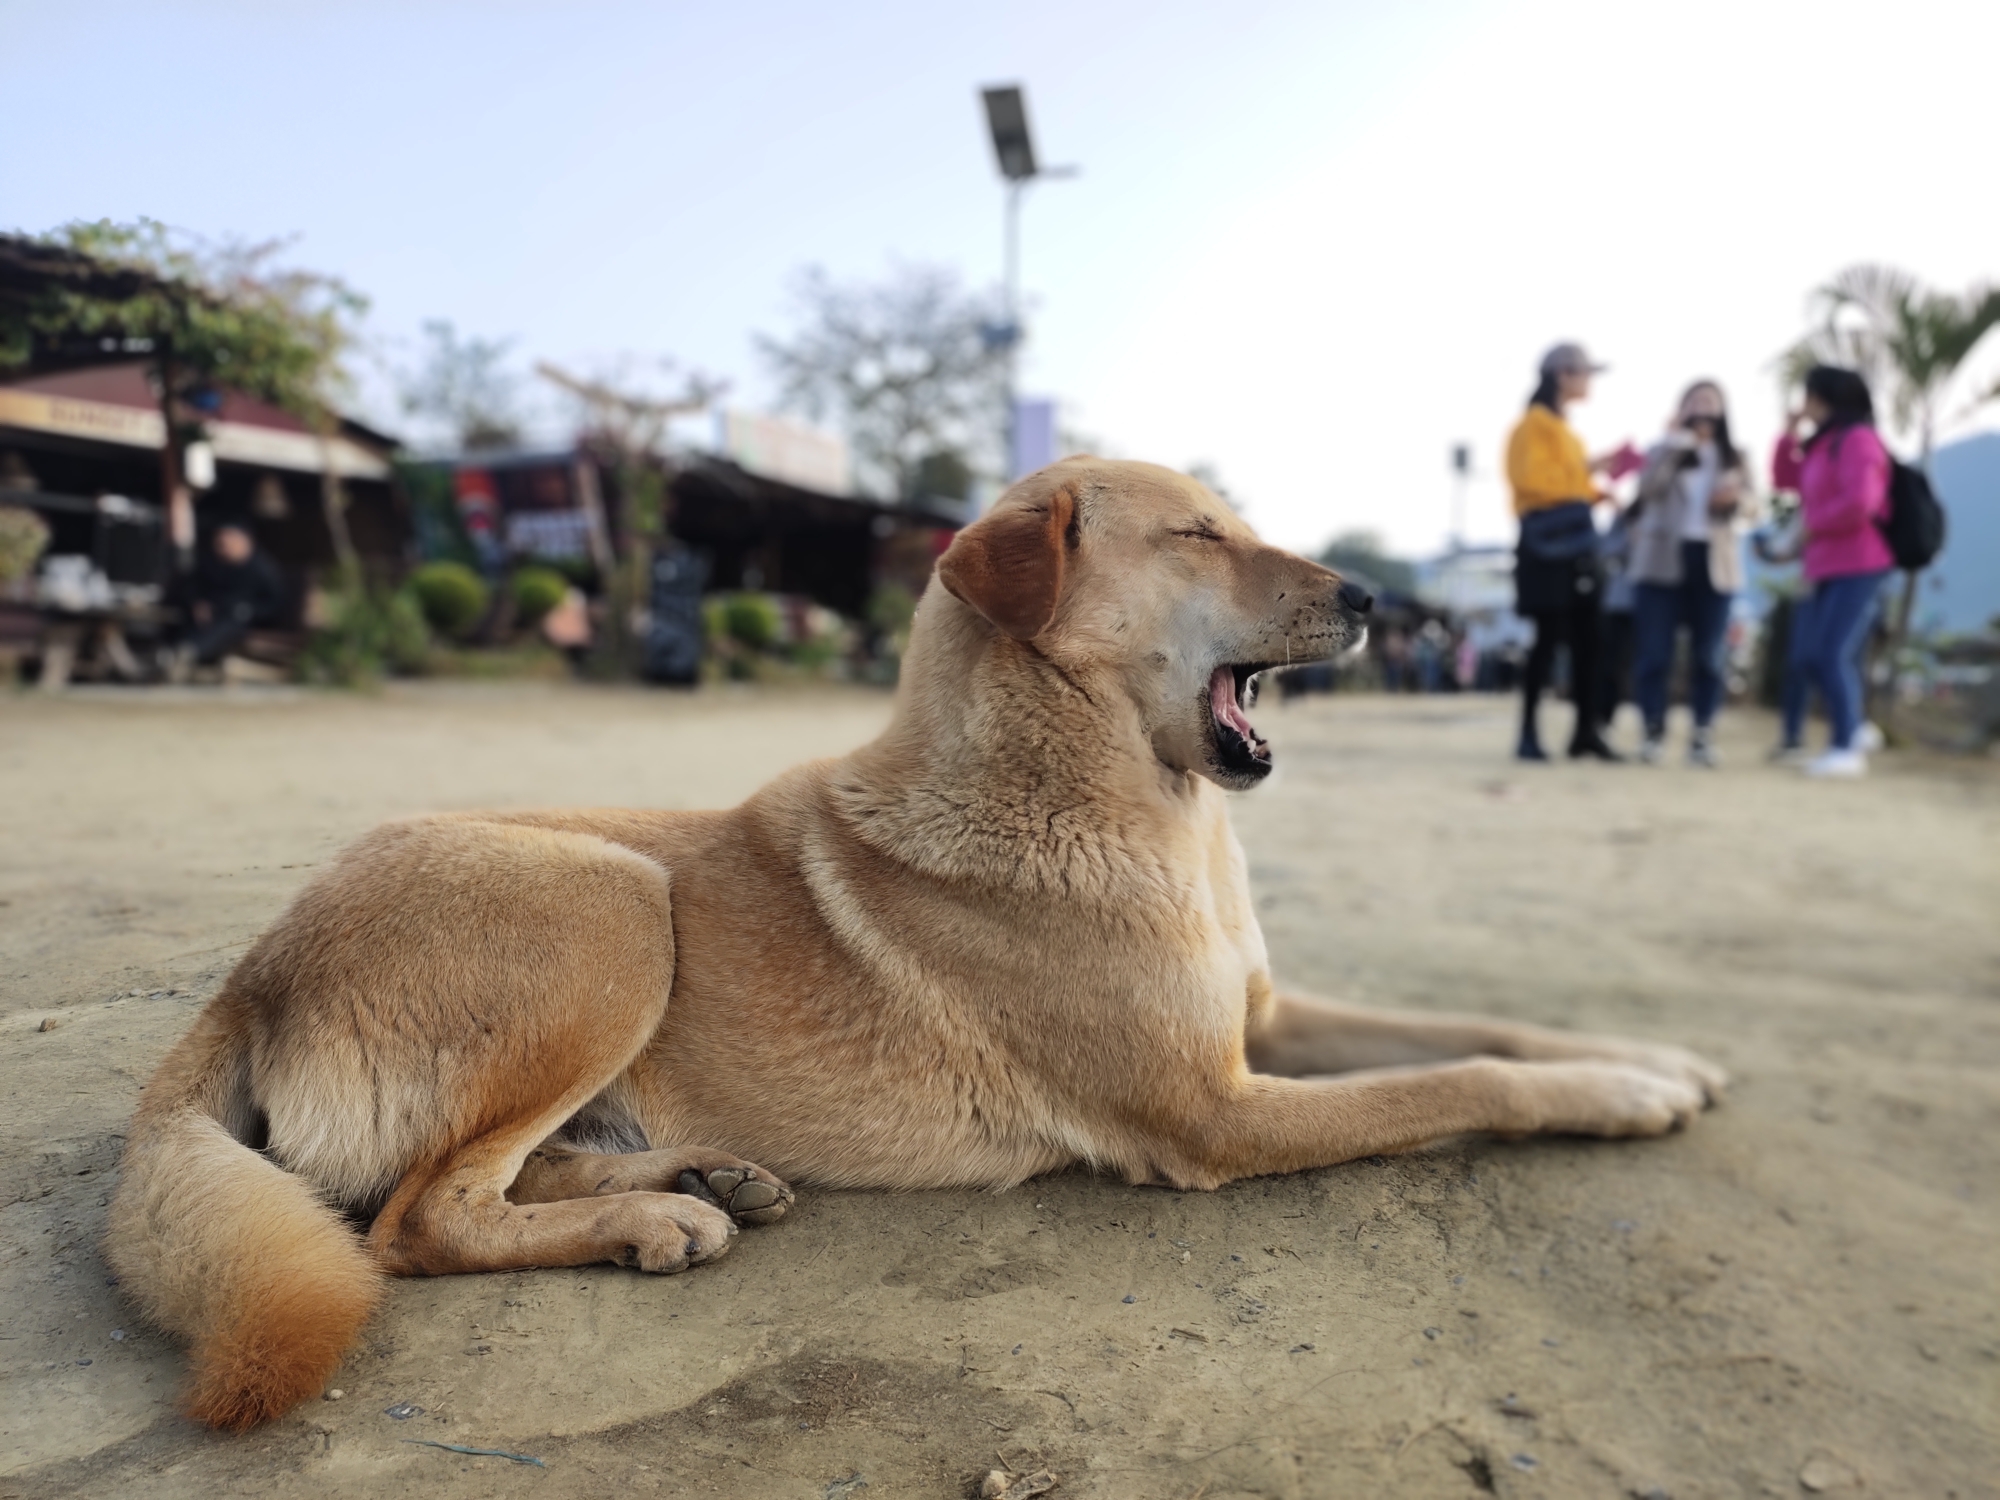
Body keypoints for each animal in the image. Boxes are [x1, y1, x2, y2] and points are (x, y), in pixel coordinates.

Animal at [105, 458, 1720, 1432]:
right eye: (1199, 534)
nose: (1381, 599)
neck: (1119, 800)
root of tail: (254, 969)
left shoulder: (1261, 1020)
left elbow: (1488, 1031)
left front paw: (1648, 1059)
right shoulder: (1213, 1110)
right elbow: (1462, 1083)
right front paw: (1620, 1098)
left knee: (478, 1178)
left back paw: (702, 1178)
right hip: (611, 899)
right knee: (415, 1219)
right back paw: (653, 1222)